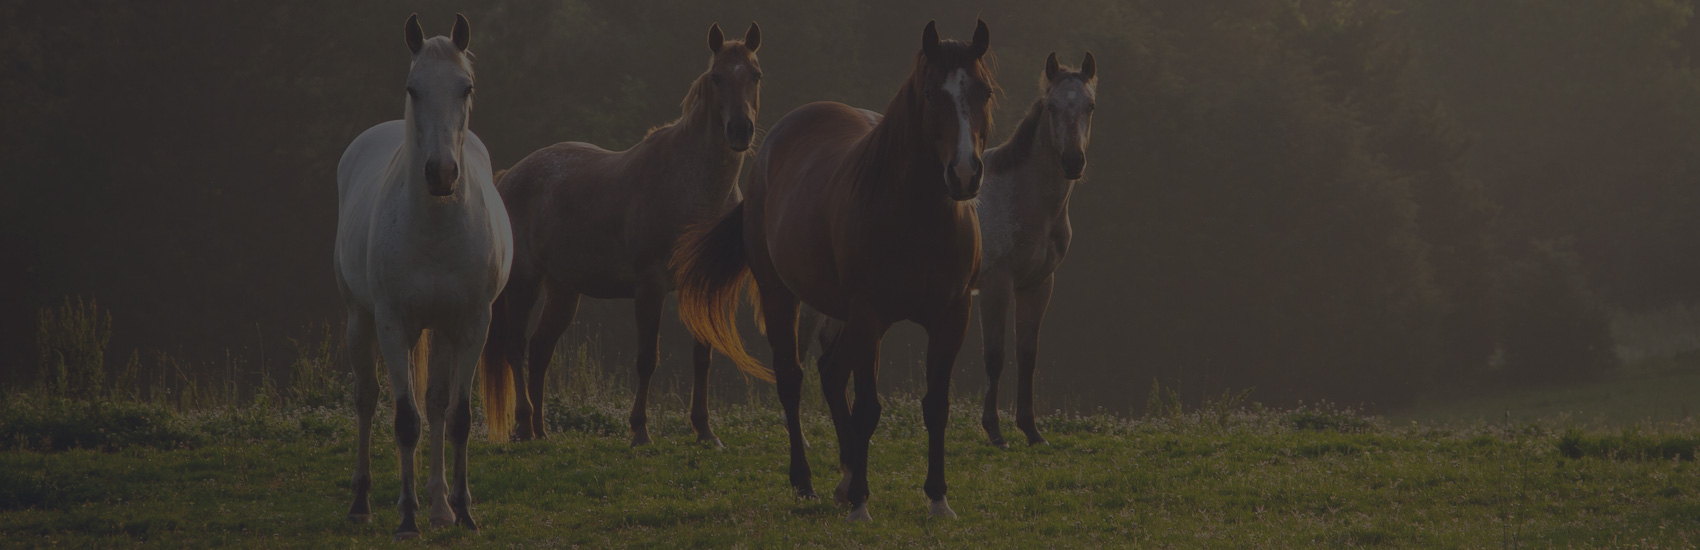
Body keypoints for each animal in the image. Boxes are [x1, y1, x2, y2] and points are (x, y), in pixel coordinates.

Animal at [333, 14, 510, 539]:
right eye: (413, 89)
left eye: (466, 87)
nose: (441, 173)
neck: (435, 229)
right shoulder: (393, 324)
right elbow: (405, 421)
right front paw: (407, 518)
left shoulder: (471, 326)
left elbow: (457, 418)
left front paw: (463, 512)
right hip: (361, 320)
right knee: (368, 401)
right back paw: (363, 503)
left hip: (442, 331)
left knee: (434, 404)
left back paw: (440, 507)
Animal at [482, 21, 768, 444]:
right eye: (717, 77)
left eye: (755, 74)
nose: (739, 130)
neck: (692, 187)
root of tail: (509, 177)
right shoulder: (649, 286)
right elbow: (647, 358)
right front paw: (640, 430)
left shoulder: (697, 284)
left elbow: (703, 357)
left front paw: (705, 430)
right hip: (524, 282)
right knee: (515, 348)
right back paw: (522, 424)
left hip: (563, 290)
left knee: (540, 349)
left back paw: (541, 431)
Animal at [676, 19, 992, 522]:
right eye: (930, 94)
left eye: (984, 91)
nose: (964, 174)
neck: (918, 219)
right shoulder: (871, 316)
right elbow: (867, 408)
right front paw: (861, 501)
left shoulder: (951, 318)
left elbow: (935, 406)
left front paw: (938, 498)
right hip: (782, 295)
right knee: (793, 378)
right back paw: (807, 481)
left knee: (829, 371)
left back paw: (844, 475)